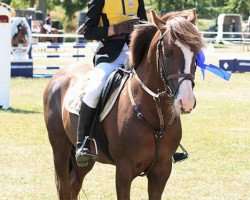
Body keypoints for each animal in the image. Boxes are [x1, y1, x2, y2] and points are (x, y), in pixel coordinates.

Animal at [43, 9, 203, 200]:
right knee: (64, 188)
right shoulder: (124, 171)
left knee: (74, 185)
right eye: (167, 52)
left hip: (84, 160)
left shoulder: (161, 171)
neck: (156, 115)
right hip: (60, 148)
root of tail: (58, 76)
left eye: (196, 53)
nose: (186, 102)